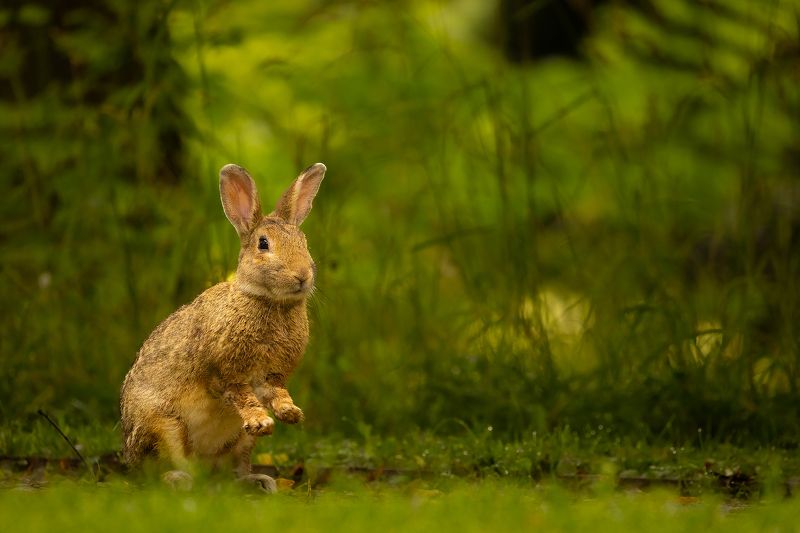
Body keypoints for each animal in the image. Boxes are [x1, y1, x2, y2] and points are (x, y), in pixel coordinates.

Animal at [120, 162, 326, 491]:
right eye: (263, 244)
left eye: (304, 243)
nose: (302, 275)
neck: (268, 301)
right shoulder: (225, 374)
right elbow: (240, 395)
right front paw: (261, 420)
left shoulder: (271, 375)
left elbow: (275, 392)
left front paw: (290, 412)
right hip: (164, 427)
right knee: (160, 469)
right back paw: (179, 479)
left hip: (240, 442)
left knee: (235, 468)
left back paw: (258, 482)